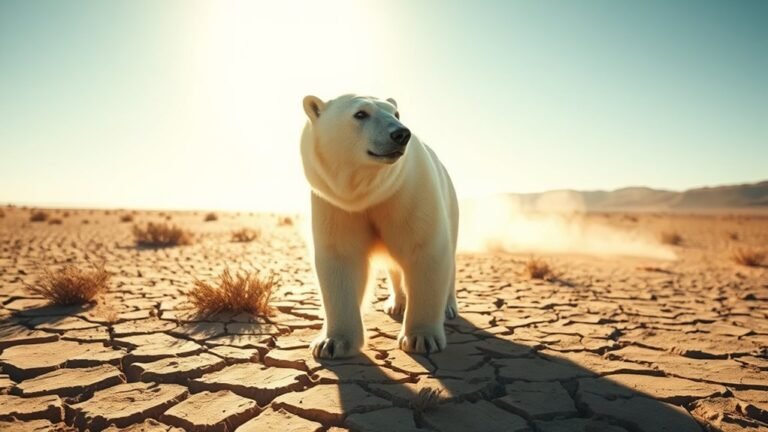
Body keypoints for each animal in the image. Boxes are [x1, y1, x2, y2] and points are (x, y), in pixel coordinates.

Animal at [300, 94, 459, 359]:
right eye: (361, 113)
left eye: (396, 113)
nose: (401, 134)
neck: (370, 192)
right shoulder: (335, 204)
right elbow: (340, 257)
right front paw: (331, 343)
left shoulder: (408, 192)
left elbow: (424, 249)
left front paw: (421, 338)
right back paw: (397, 303)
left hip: (450, 201)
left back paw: (448, 307)